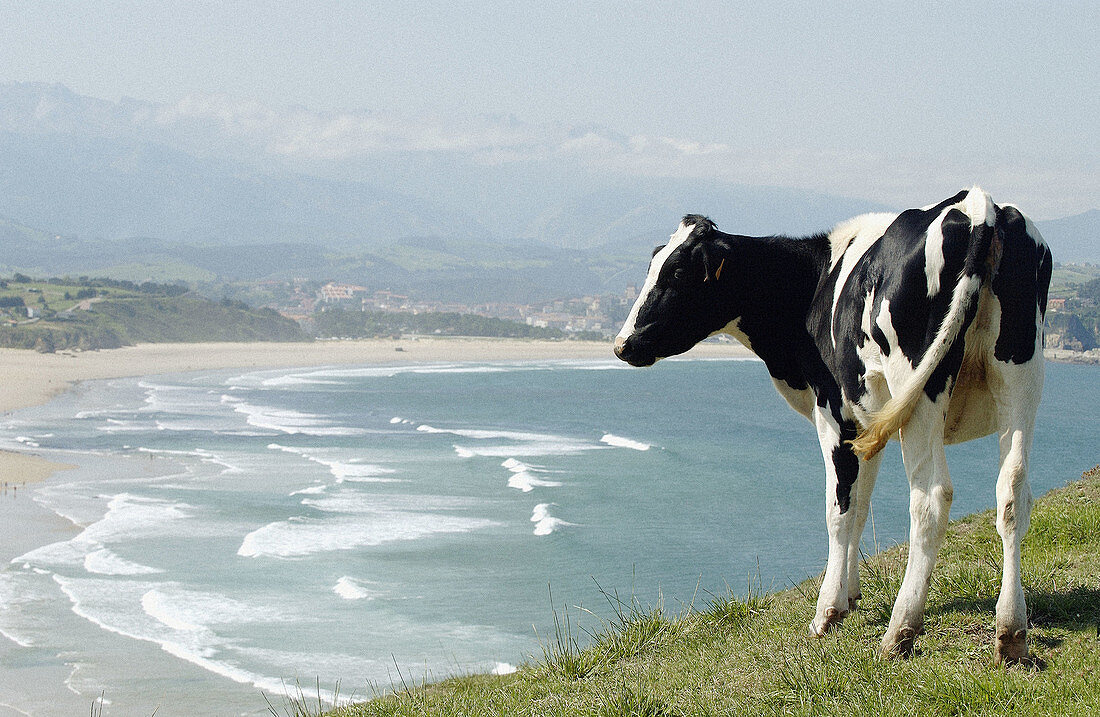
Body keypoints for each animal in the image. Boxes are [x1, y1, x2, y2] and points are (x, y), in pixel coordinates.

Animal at [616, 188, 1051, 664]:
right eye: (654, 264)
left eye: (677, 271)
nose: (622, 344)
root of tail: (976, 207)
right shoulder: (868, 423)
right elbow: (860, 506)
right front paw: (851, 595)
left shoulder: (835, 417)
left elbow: (838, 511)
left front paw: (827, 611)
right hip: (1020, 374)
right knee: (1013, 493)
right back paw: (1011, 631)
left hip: (921, 386)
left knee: (931, 498)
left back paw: (900, 631)